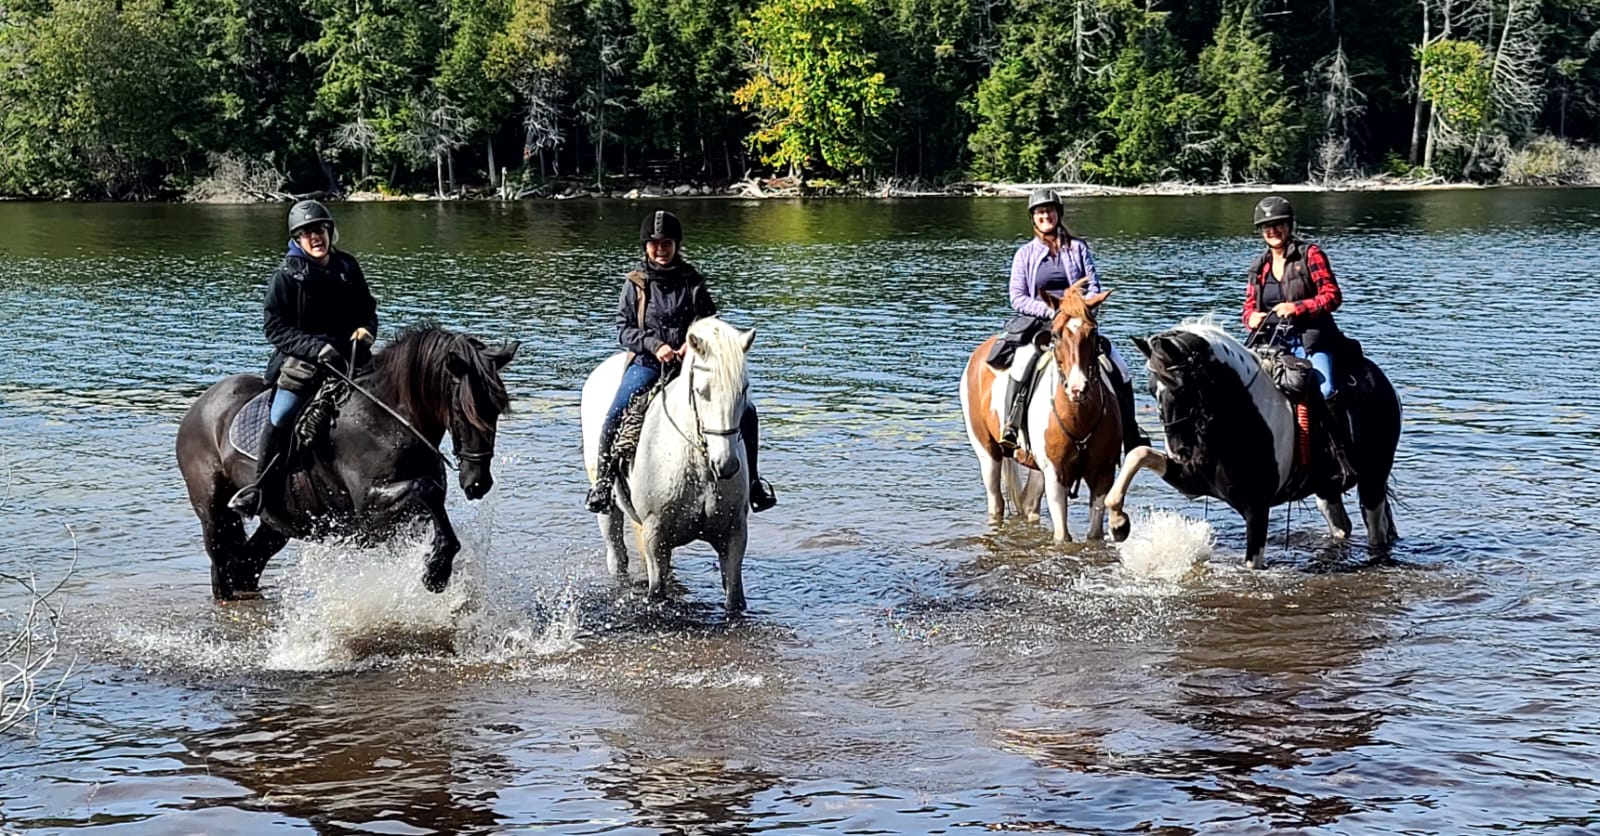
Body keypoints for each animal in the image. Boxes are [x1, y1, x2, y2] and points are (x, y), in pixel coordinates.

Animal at [180, 325, 518, 598]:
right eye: (463, 411)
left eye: (495, 410)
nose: (478, 483)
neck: (388, 421)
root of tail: (200, 404)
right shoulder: (369, 509)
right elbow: (426, 489)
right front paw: (436, 572)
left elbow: (435, 510)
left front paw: (436, 565)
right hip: (213, 514)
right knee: (222, 566)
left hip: (278, 523)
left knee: (247, 564)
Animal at [579, 315, 752, 608]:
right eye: (701, 391)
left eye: (744, 389)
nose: (725, 464)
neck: (697, 469)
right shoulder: (655, 536)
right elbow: (657, 592)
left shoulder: (734, 536)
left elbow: (734, 600)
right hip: (608, 509)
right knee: (618, 557)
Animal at [960, 280, 1126, 541]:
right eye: (1056, 335)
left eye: (1093, 332)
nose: (1078, 388)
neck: (1079, 418)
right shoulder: (1056, 476)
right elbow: (1062, 537)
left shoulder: (1103, 474)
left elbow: (1094, 534)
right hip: (987, 453)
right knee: (996, 502)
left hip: (1036, 465)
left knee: (1029, 502)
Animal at [1100, 318, 1401, 566]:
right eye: (1153, 389)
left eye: (1182, 387)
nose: (1178, 451)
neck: (1239, 421)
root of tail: (1379, 379)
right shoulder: (1190, 481)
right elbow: (1138, 454)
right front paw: (1118, 525)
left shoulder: (1257, 508)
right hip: (1327, 490)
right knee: (1342, 527)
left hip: (1373, 480)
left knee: (1376, 529)